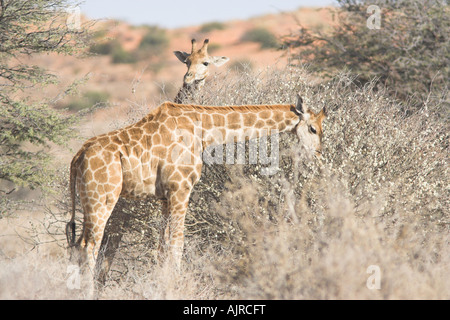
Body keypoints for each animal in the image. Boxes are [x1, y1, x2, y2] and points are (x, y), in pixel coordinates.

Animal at [65, 94, 326, 292]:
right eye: (313, 129)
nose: (318, 156)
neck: (203, 130)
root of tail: (77, 157)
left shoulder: (165, 196)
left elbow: (162, 247)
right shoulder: (181, 188)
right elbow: (178, 245)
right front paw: (176, 287)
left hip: (88, 201)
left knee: (77, 245)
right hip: (102, 199)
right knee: (89, 246)